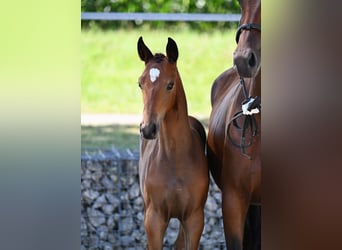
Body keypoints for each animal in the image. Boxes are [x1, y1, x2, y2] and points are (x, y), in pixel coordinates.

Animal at [136, 37, 208, 250]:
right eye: (140, 84)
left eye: (170, 84)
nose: (148, 129)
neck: (176, 158)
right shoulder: (153, 219)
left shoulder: (194, 219)